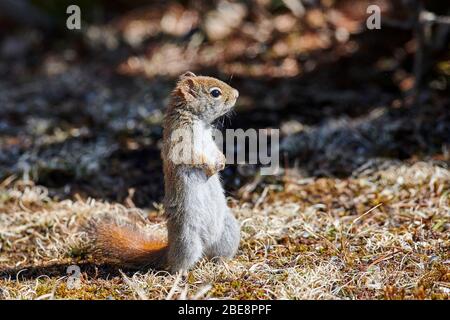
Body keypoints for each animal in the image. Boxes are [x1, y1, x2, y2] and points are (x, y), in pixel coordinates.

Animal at [89, 71, 241, 272]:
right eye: (215, 93)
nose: (237, 94)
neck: (199, 122)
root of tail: (168, 250)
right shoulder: (180, 142)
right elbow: (194, 157)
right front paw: (211, 166)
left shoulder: (209, 141)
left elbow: (214, 151)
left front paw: (221, 160)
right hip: (187, 239)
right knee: (178, 262)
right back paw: (180, 273)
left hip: (229, 230)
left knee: (218, 253)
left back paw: (224, 264)